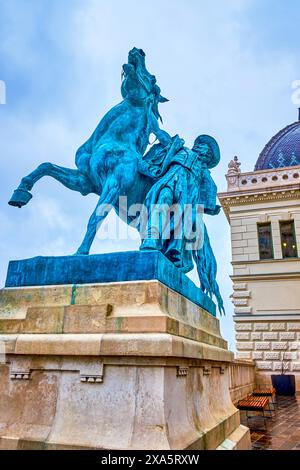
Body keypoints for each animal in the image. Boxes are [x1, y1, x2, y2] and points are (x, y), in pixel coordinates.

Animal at [8, 47, 169, 253]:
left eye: (153, 79)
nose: (138, 51)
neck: (116, 139)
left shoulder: (114, 184)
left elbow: (95, 217)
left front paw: (81, 252)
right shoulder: (85, 181)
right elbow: (46, 166)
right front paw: (21, 192)